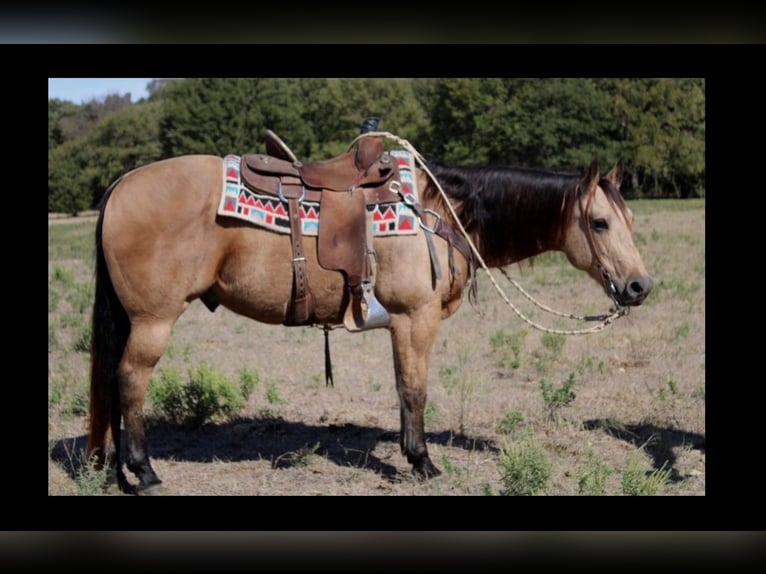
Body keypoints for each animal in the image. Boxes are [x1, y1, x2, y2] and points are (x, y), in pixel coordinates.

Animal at [88, 130, 656, 496]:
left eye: (629, 218)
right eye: (600, 223)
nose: (638, 286)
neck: (441, 212)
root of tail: (122, 183)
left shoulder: (400, 324)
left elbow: (404, 389)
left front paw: (411, 453)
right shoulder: (415, 318)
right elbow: (415, 389)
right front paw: (423, 462)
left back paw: (116, 469)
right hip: (153, 321)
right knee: (131, 380)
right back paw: (144, 472)